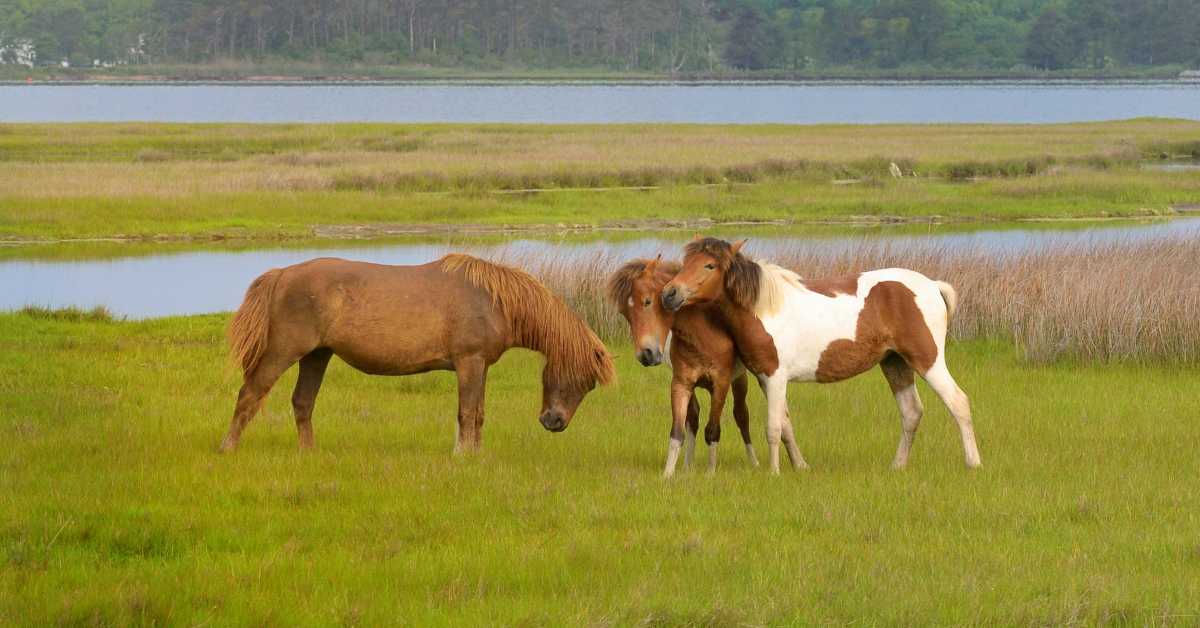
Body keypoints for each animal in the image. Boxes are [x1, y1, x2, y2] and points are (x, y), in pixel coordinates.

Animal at [223, 253, 619, 453]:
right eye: (582, 379)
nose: (555, 422)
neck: (493, 299)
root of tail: (281, 274)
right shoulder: (469, 362)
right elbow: (467, 413)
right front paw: (463, 457)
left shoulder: (481, 366)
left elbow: (478, 414)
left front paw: (476, 456)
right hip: (283, 351)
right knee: (250, 394)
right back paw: (228, 448)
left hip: (317, 355)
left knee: (303, 403)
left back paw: (310, 454)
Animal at [609, 255, 777, 477]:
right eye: (624, 313)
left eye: (647, 301)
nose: (646, 355)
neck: (701, 336)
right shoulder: (681, 384)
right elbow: (678, 431)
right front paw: (668, 475)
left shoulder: (720, 383)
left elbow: (713, 429)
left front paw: (710, 473)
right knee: (694, 417)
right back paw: (688, 465)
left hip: (739, 381)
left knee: (741, 415)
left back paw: (754, 462)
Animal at [662, 238, 979, 475]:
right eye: (685, 263)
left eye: (710, 265)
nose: (670, 293)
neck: (764, 308)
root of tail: (932, 285)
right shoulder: (765, 379)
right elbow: (785, 424)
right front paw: (799, 466)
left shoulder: (775, 377)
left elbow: (773, 427)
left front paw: (774, 472)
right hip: (895, 363)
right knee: (911, 412)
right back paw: (897, 466)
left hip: (928, 361)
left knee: (959, 403)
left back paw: (973, 463)